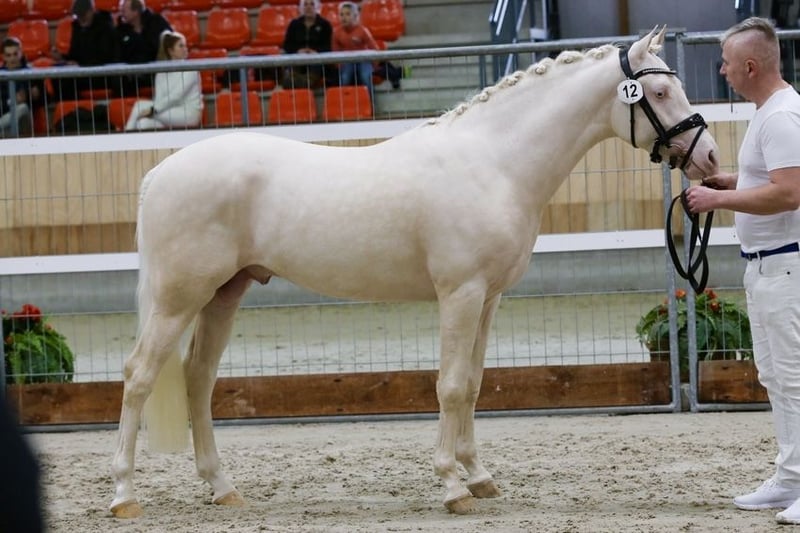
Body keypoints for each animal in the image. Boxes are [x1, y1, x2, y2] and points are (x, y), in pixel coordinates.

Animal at [110, 27, 719, 518]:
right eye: (659, 93)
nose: (710, 158)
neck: (494, 161)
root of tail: (159, 173)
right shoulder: (460, 294)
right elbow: (449, 386)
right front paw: (452, 487)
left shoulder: (489, 299)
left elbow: (473, 385)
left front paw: (479, 477)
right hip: (178, 298)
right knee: (139, 376)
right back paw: (124, 496)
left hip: (223, 293)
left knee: (198, 378)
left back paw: (222, 488)